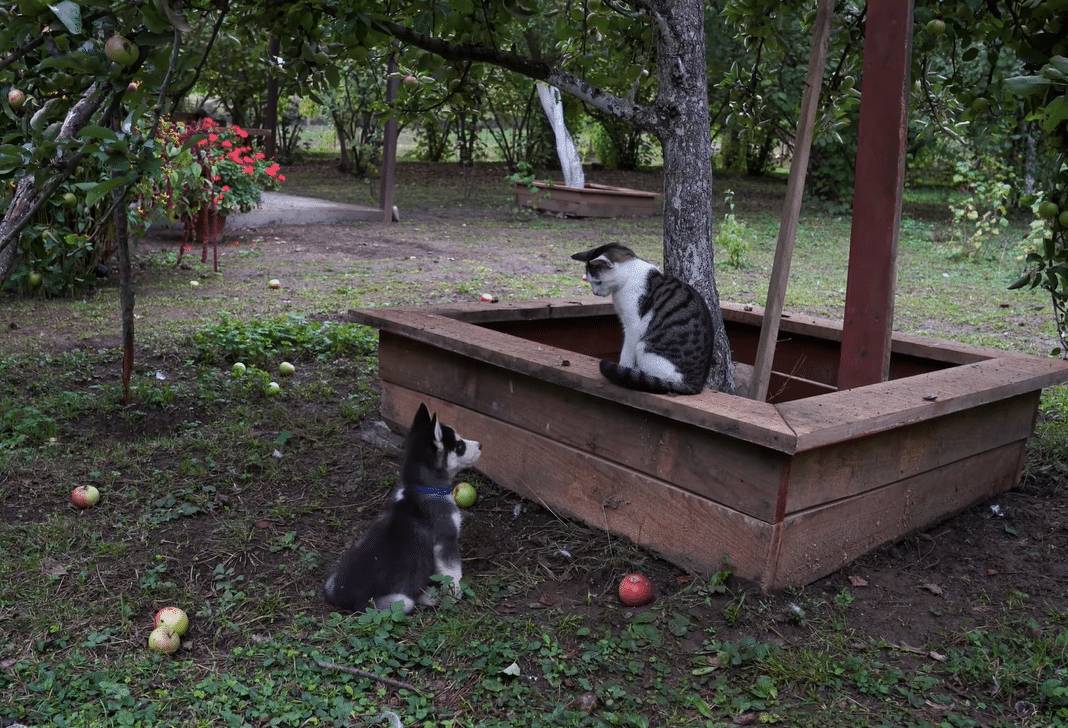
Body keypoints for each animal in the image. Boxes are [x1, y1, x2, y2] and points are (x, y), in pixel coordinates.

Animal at [320, 403, 480, 610]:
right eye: (459, 446)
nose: (481, 445)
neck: (421, 487)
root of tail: (342, 599)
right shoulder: (446, 539)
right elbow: (453, 573)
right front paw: (455, 594)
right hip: (401, 601)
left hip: (332, 578)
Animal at [572, 242, 713, 390]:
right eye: (589, 281)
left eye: (598, 282)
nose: (595, 293)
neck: (630, 275)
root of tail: (697, 382)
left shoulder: (633, 325)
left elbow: (627, 353)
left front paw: (624, 368)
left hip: (643, 348)